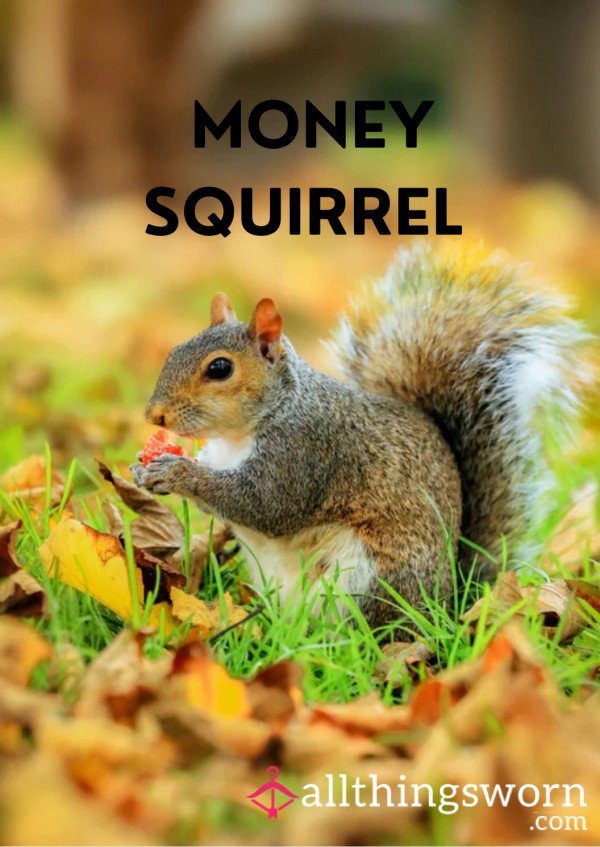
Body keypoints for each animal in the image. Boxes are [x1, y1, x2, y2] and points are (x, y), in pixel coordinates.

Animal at [132, 247, 585, 628]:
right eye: (173, 351)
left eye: (220, 368)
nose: (154, 414)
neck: (240, 435)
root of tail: (449, 602)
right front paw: (145, 469)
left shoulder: (305, 452)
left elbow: (264, 505)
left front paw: (177, 473)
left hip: (363, 577)